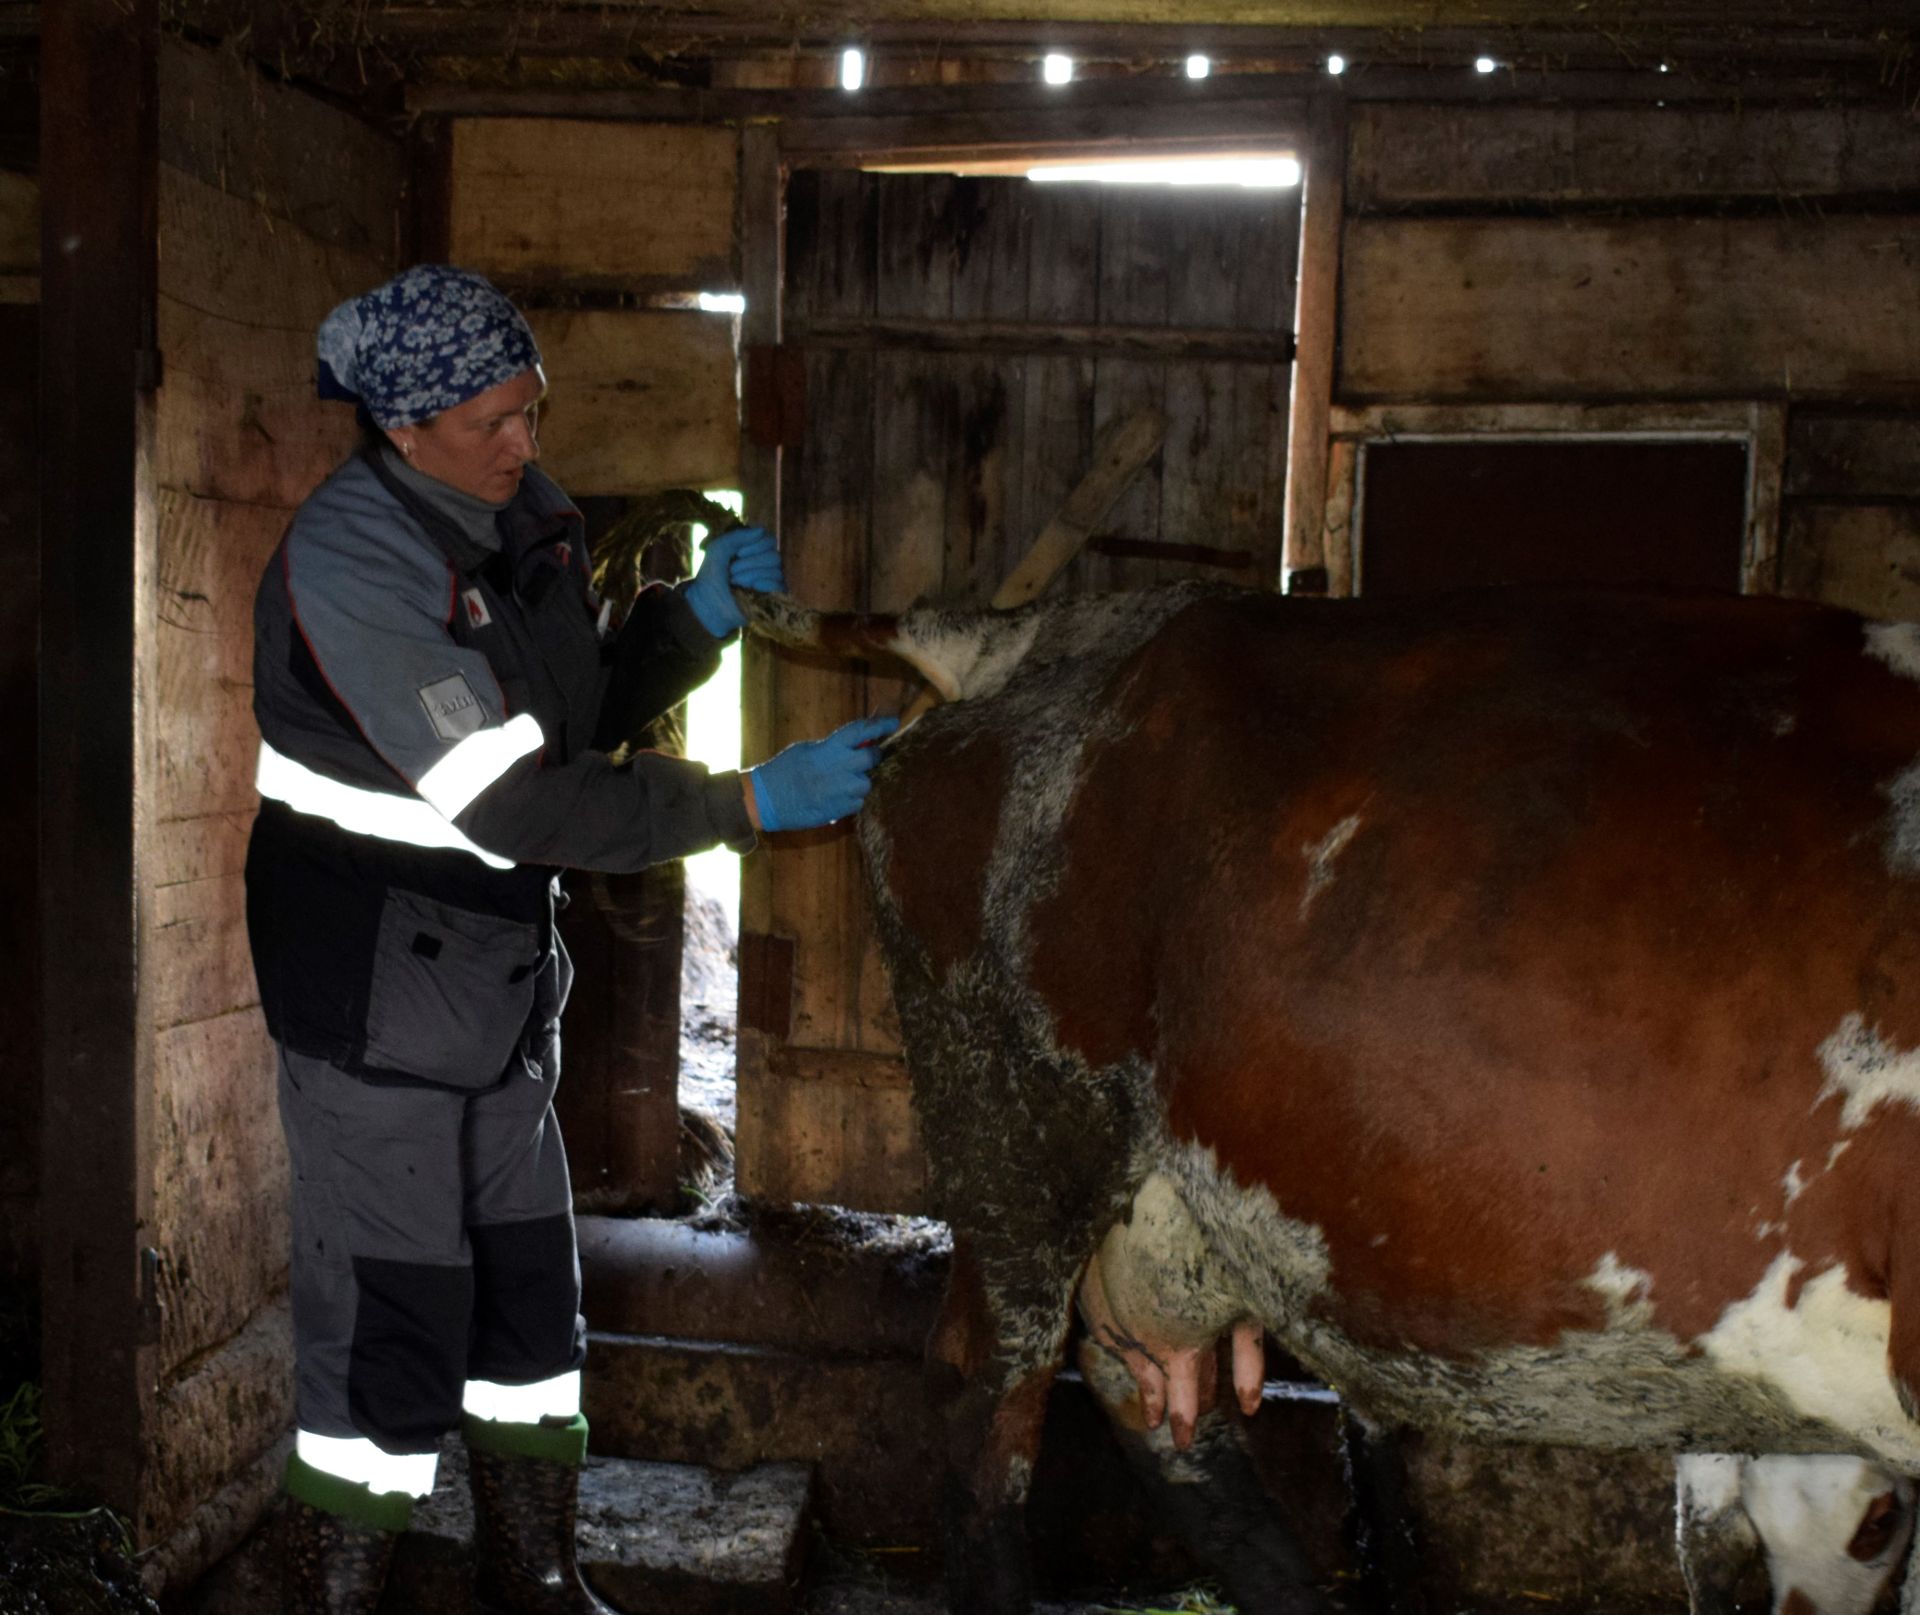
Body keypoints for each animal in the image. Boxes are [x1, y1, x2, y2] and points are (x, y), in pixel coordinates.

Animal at [737, 579, 1920, 1613]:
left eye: (1883, 1529)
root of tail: (1022, 627)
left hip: (1176, 1190)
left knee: (1156, 1391)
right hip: (1018, 1130)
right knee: (990, 1399)